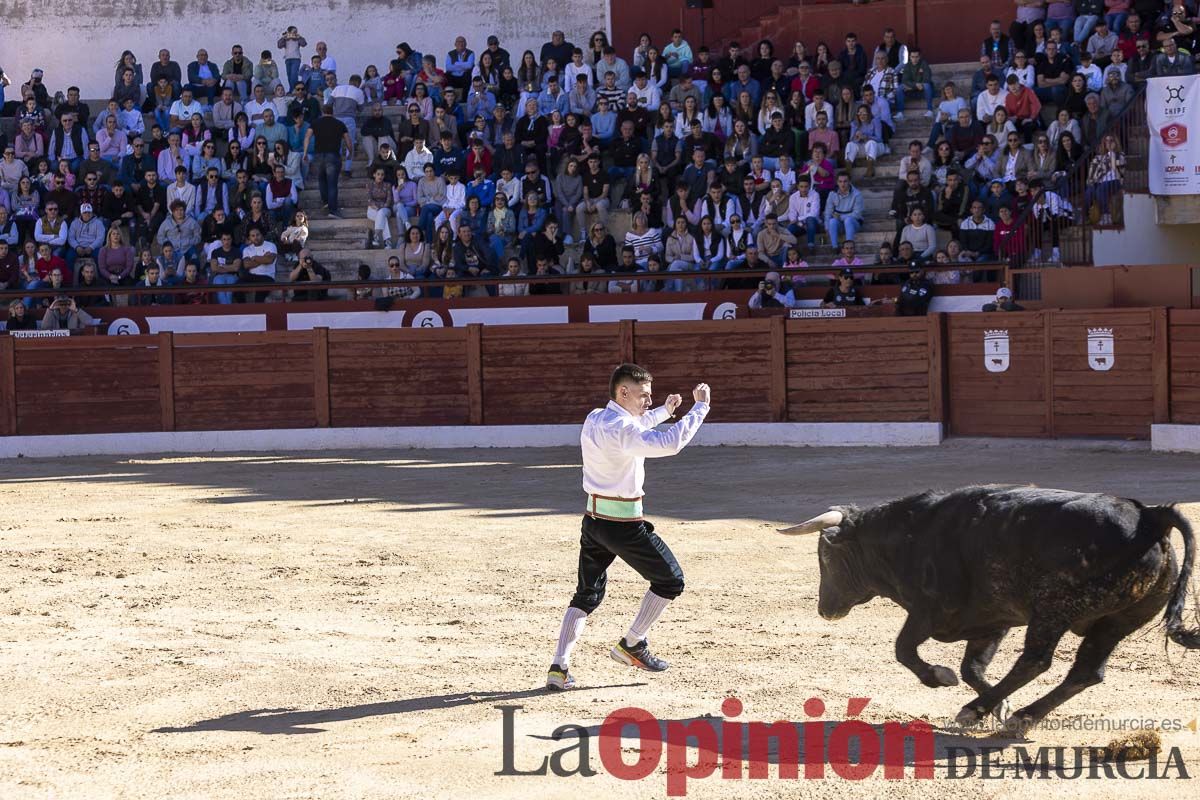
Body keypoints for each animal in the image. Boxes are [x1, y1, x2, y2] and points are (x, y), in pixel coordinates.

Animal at [782, 484, 1195, 734]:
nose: (825, 609)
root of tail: (1151, 517)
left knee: (1036, 661)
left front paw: (941, 678)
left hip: (1053, 610)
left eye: (825, 556)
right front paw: (999, 705)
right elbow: (973, 668)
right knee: (1085, 672)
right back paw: (1020, 717)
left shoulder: (928, 612)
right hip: (1119, 622)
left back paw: (976, 710)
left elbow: (905, 650)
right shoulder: (993, 621)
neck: (906, 538)